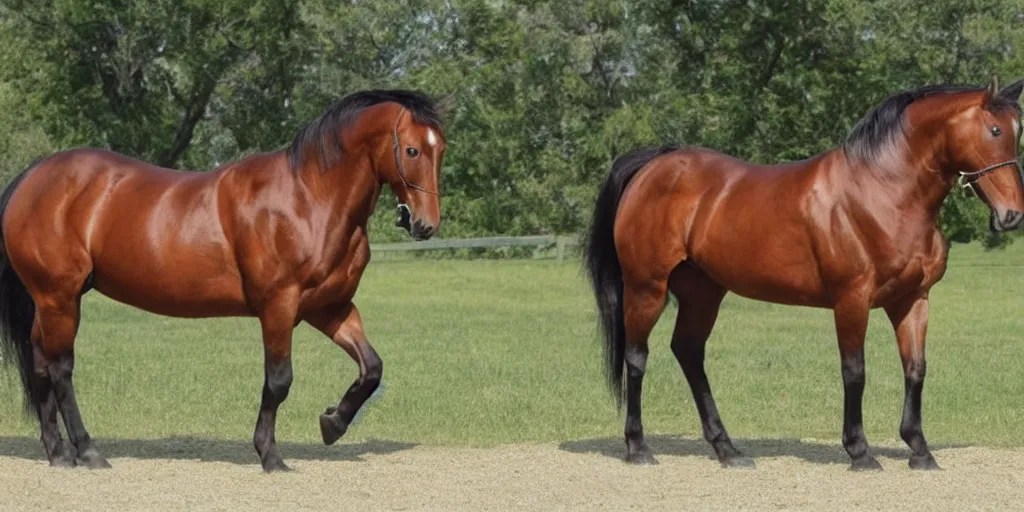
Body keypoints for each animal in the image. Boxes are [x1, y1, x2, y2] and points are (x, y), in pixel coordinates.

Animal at [0, 89, 447, 472]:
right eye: (412, 150)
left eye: (440, 148)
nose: (425, 224)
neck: (308, 199)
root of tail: (32, 176)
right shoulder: (279, 307)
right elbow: (279, 381)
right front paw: (270, 455)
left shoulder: (329, 308)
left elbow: (371, 368)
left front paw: (332, 423)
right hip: (60, 298)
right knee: (60, 369)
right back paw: (89, 451)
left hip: (50, 302)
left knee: (40, 366)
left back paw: (59, 454)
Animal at [585, 77, 1024, 471]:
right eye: (995, 130)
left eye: (1017, 130)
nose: (1012, 214)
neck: (882, 194)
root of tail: (655, 164)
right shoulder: (851, 300)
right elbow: (854, 371)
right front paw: (860, 452)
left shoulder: (913, 300)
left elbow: (915, 369)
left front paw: (920, 450)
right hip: (647, 287)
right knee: (637, 356)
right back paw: (639, 448)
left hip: (703, 291)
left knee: (689, 352)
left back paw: (728, 450)